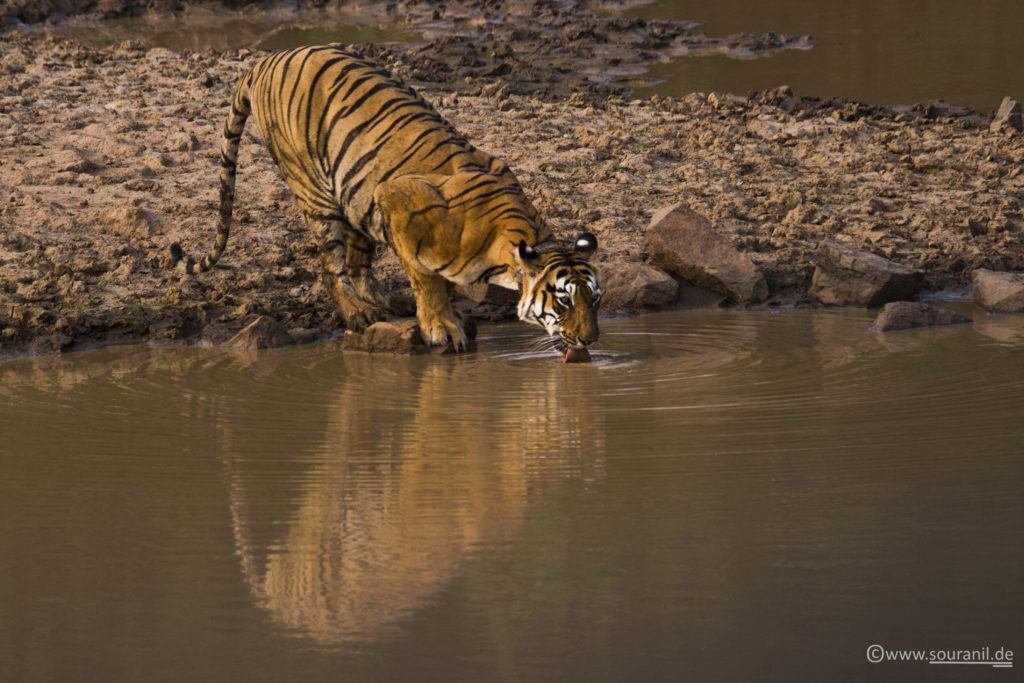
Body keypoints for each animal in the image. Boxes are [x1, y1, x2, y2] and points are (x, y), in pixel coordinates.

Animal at [168, 44, 598, 352]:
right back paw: (359, 314)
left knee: (359, 265)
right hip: (317, 190)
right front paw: (442, 327)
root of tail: (266, 59)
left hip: (357, 194)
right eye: (563, 301)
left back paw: (388, 305)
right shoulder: (395, 197)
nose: (591, 340)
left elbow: (442, 282)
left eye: (594, 300)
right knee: (332, 267)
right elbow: (427, 278)